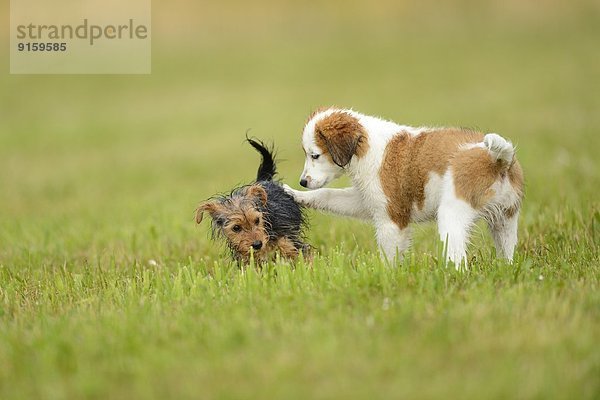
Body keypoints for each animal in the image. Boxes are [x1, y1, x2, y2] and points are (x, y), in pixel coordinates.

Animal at [284, 108, 524, 268]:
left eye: (315, 155)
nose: (303, 182)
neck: (368, 147)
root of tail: (497, 159)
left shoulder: (392, 217)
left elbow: (389, 255)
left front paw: (387, 277)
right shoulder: (368, 201)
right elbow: (328, 195)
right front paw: (294, 194)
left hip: (451, 214)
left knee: (457, 258)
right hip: (505, 219)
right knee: (507, 250)